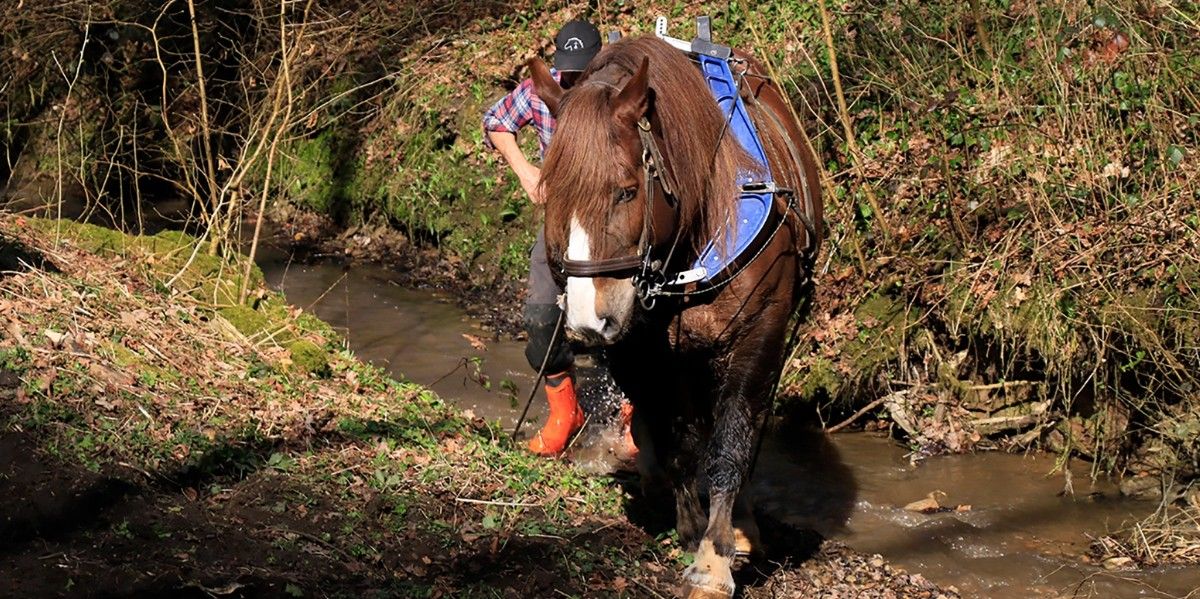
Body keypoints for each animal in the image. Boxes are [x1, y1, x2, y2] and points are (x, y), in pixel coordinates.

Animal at [535, 36, 825, 599]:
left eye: (626, 190)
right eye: (551, 193)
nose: (586, 323)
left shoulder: (760, 332)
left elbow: (732, 440)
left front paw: (715, 560)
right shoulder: (640, 346)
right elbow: (679, 439)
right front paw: (691, 530)